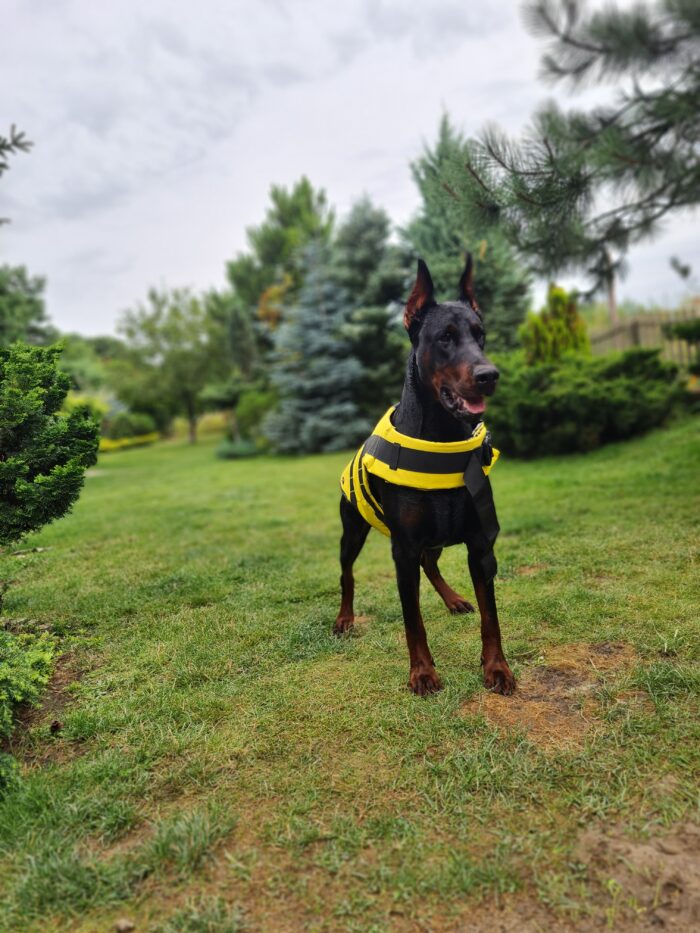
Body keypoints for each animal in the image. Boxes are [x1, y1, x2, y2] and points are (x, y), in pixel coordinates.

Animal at [335, 255, 515, 697]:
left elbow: (491, 617)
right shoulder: (402, 549)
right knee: (347, 573)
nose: (489, 375)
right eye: (445, 337)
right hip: (353, 530)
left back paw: (453, 599)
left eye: (481, 336)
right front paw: (422, 673)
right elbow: (412, 621)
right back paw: (345, 619)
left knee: (431, 563)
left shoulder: (480, 544)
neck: (443, 437)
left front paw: (496, 667)